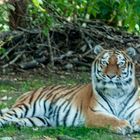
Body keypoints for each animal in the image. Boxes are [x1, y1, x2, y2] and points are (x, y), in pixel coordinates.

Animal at [0, 45, 140, 135]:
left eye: (120, 64)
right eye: (104, 63)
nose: (111, 76)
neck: (117, 93)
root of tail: (27, 92)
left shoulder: (136, 109)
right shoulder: (95, 113)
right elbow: (110, 119)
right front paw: (124, 126)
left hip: (41, 118)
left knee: (20, 120)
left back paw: (17, 124)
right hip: (25, 106)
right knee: (5, 117)